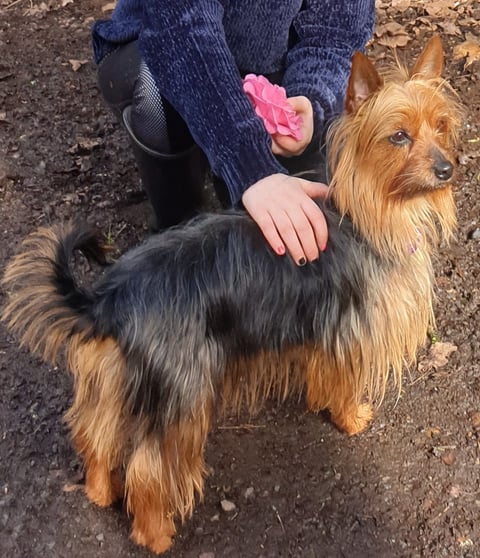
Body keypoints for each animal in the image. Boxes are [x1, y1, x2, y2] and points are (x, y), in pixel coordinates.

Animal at [2, 36, 462, 556]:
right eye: (398, 136)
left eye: (441, 126)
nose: (447, 169)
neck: (374, 213)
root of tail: (111, 298)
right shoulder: (349, 332)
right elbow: (343, 383)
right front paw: (350, 418)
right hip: (182, 394)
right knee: (148, 471)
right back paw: (155, 534)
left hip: (115, 380)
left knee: (95, 435)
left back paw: (99, 491)